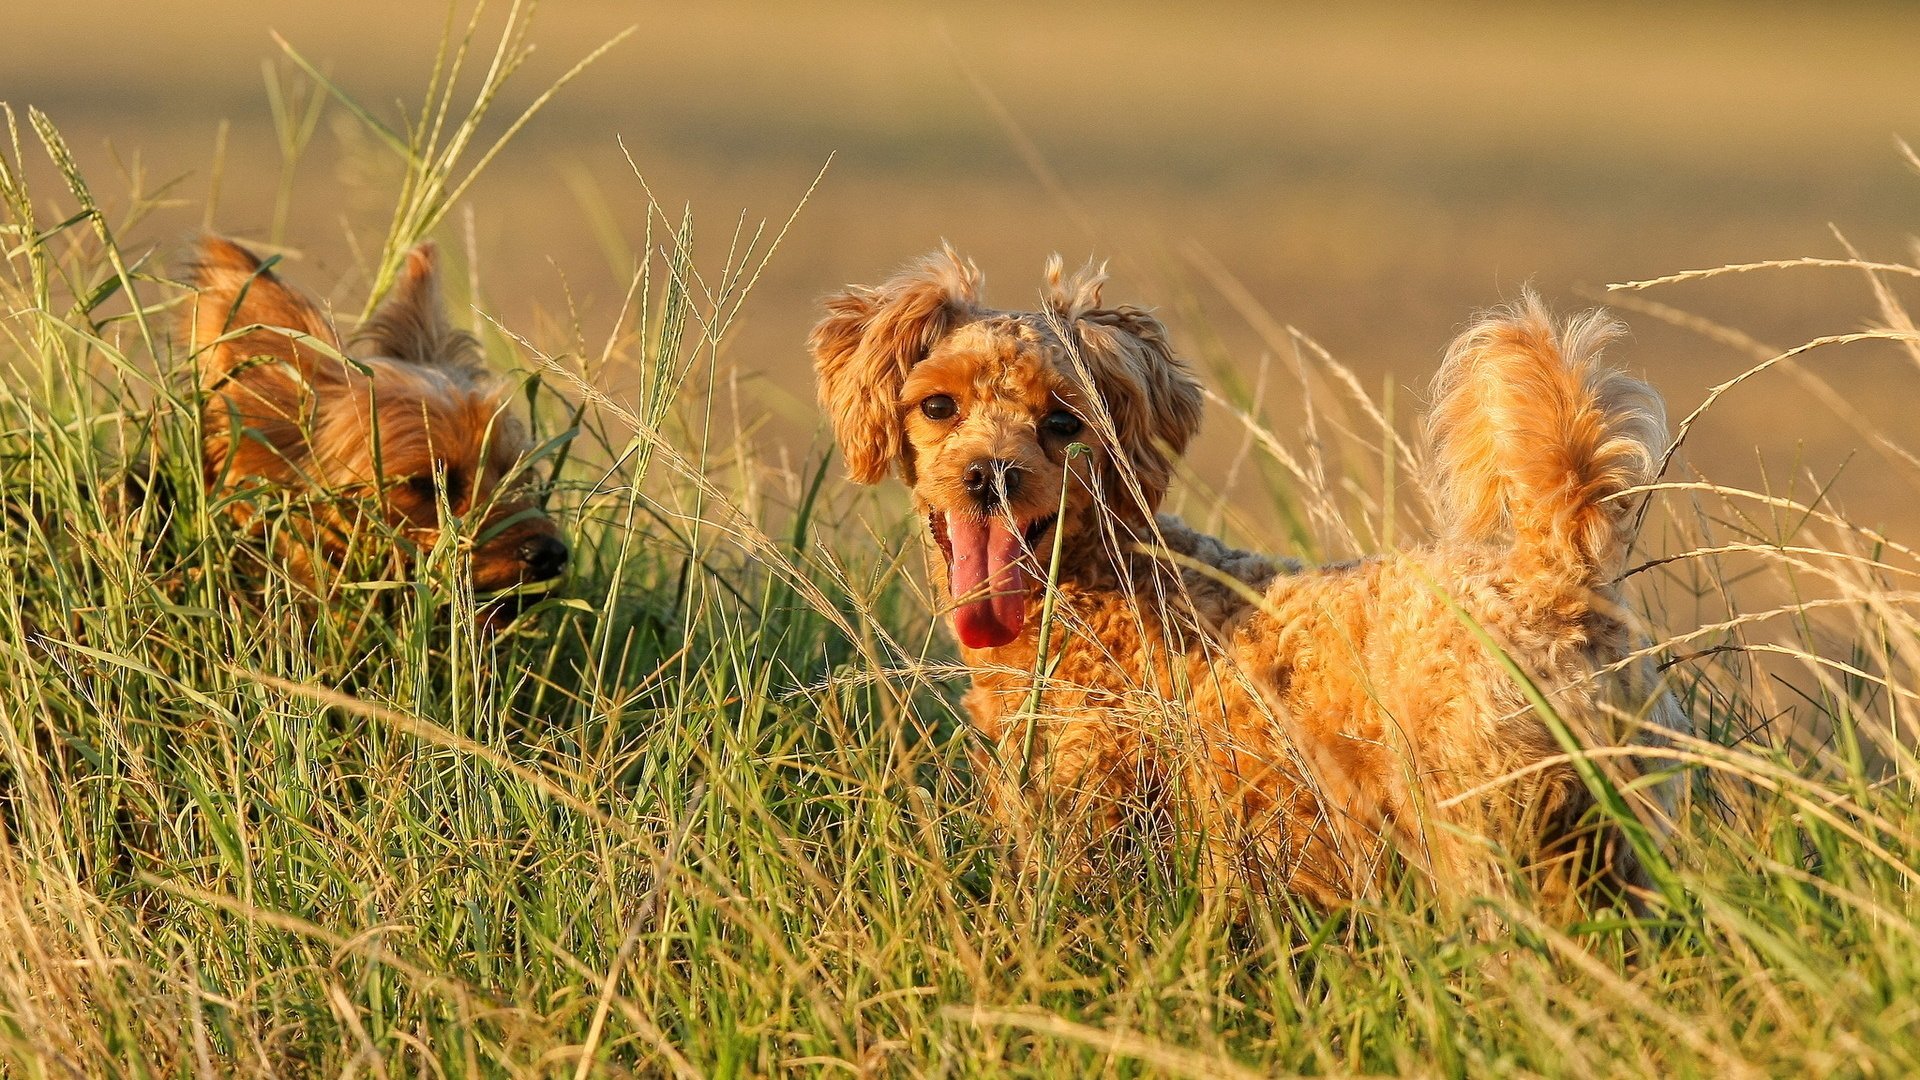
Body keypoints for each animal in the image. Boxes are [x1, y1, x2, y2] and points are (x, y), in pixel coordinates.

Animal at [810, 247, 1681, 903]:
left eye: (1062, 421)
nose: (990, 475)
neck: (1103, 585)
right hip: (1618, 837)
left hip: (1481, 821)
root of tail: (1555, 570)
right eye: (938, 407)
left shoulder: (1096, 800)